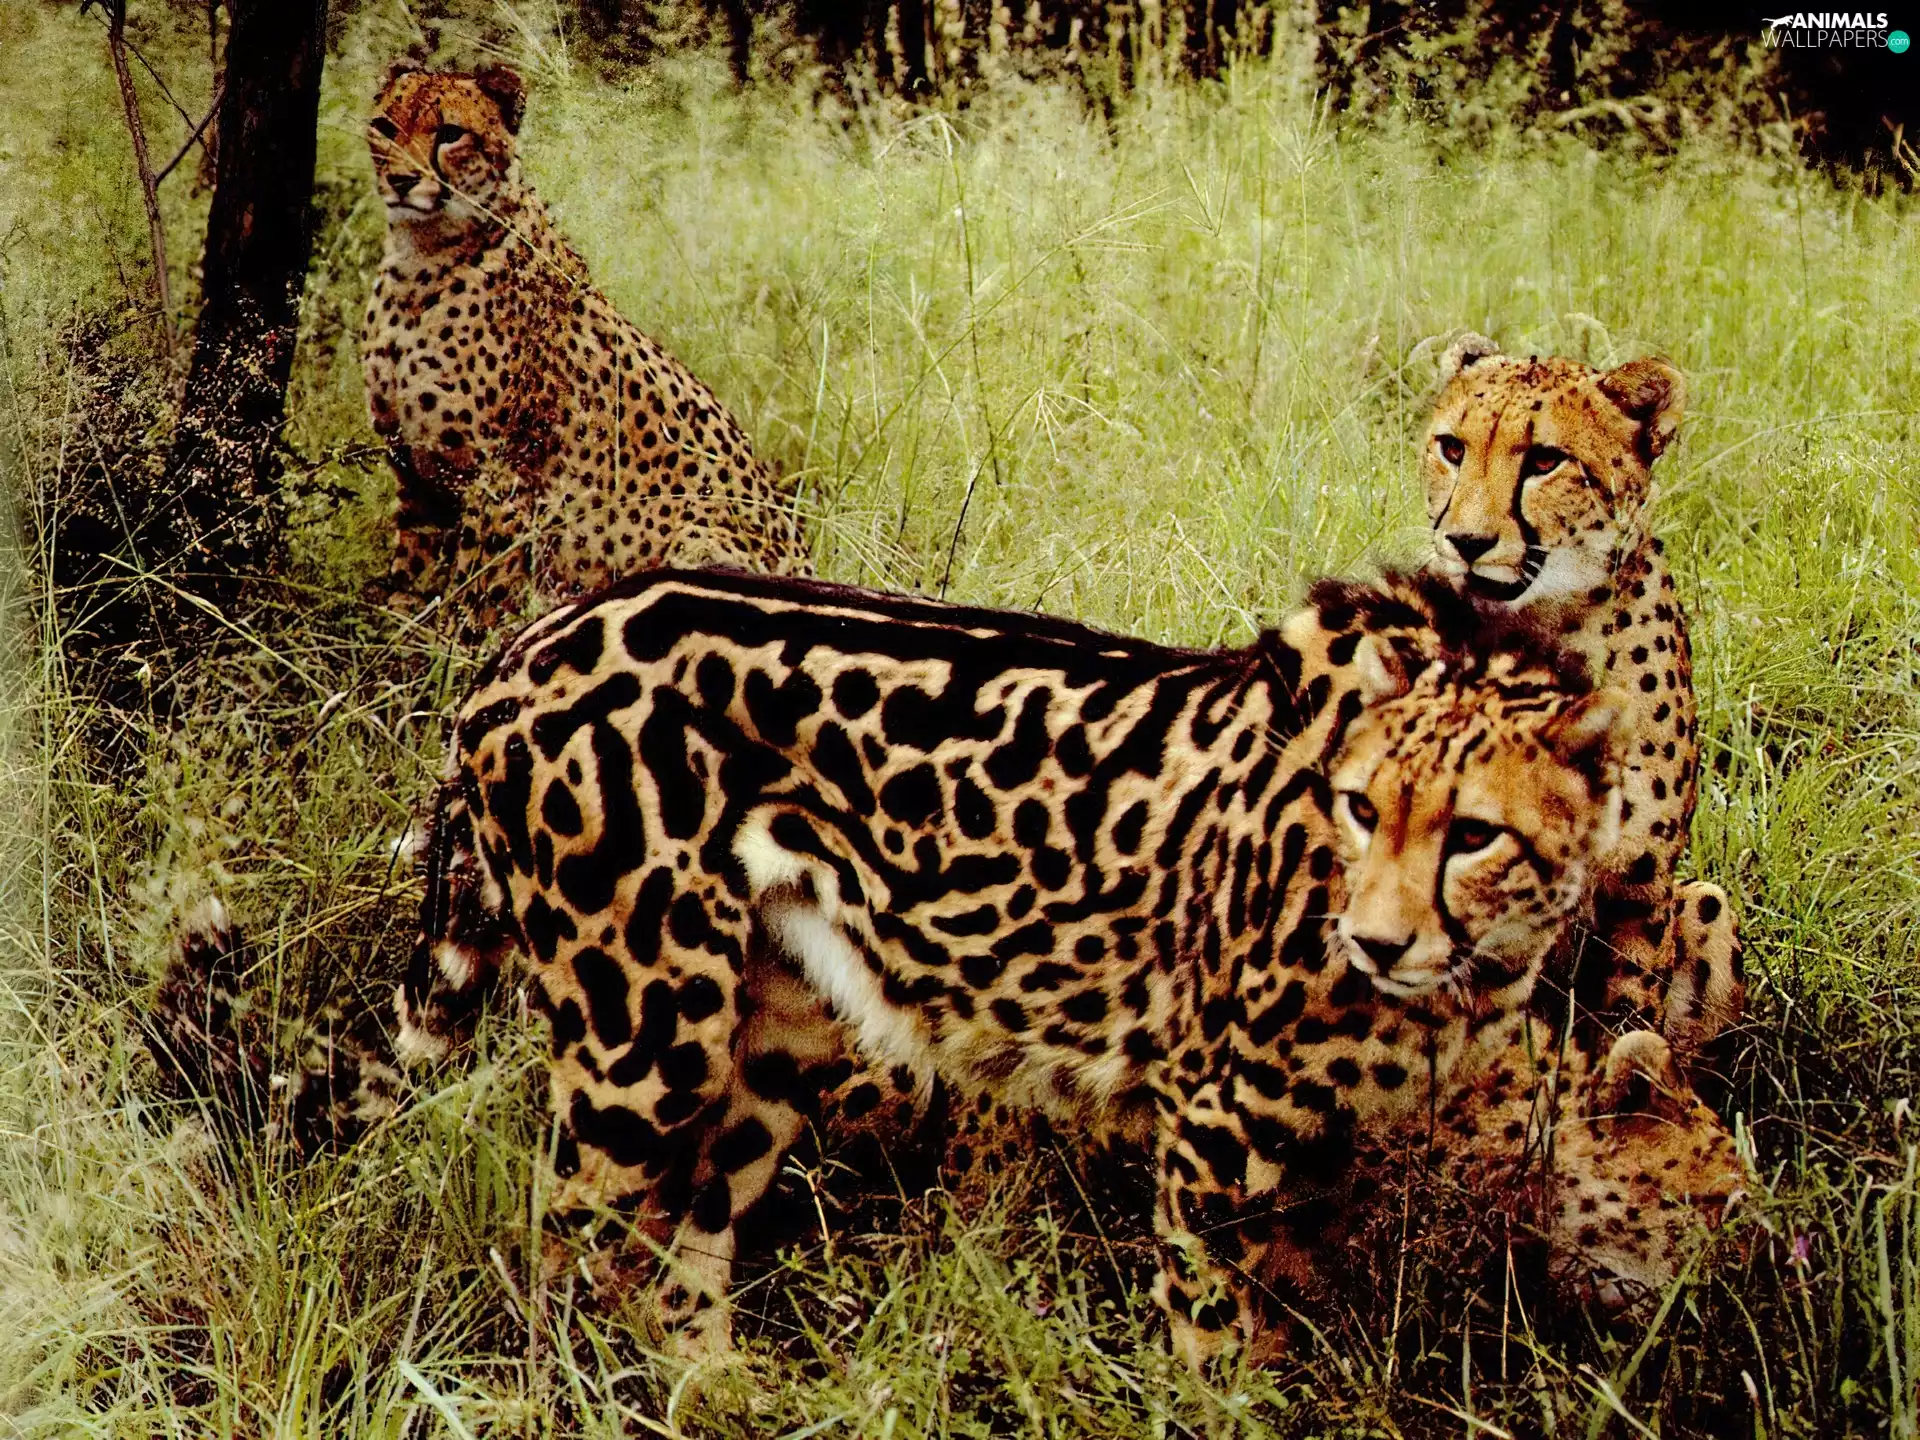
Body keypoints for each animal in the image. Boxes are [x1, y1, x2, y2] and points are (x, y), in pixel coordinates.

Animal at [361, 63, 808, 635]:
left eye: (450, 133)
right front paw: (396, 629)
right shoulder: (413, 468)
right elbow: (414, 571)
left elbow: (479, 589)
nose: (400, 181)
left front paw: (456, 645)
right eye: (384, 127)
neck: (420, 265)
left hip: (699, 543)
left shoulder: (501, 478)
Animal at [392, 565, 1634, 1367]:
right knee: (567, 1252)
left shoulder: (1313, 1158)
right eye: (1364, 809)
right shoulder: (1218, 1130)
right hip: (644, 1038)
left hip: (777, 1025)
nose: (1377, 940)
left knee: (680, 1266)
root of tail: (534, 634)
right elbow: (1219, 1359)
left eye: (1472, 834)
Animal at [1421, 335, 1744, 1060]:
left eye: (1545, 460)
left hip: (1705, 901)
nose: (1466, 541)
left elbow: (1625, 1026)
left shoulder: (1637, 888)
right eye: (1452, 448)